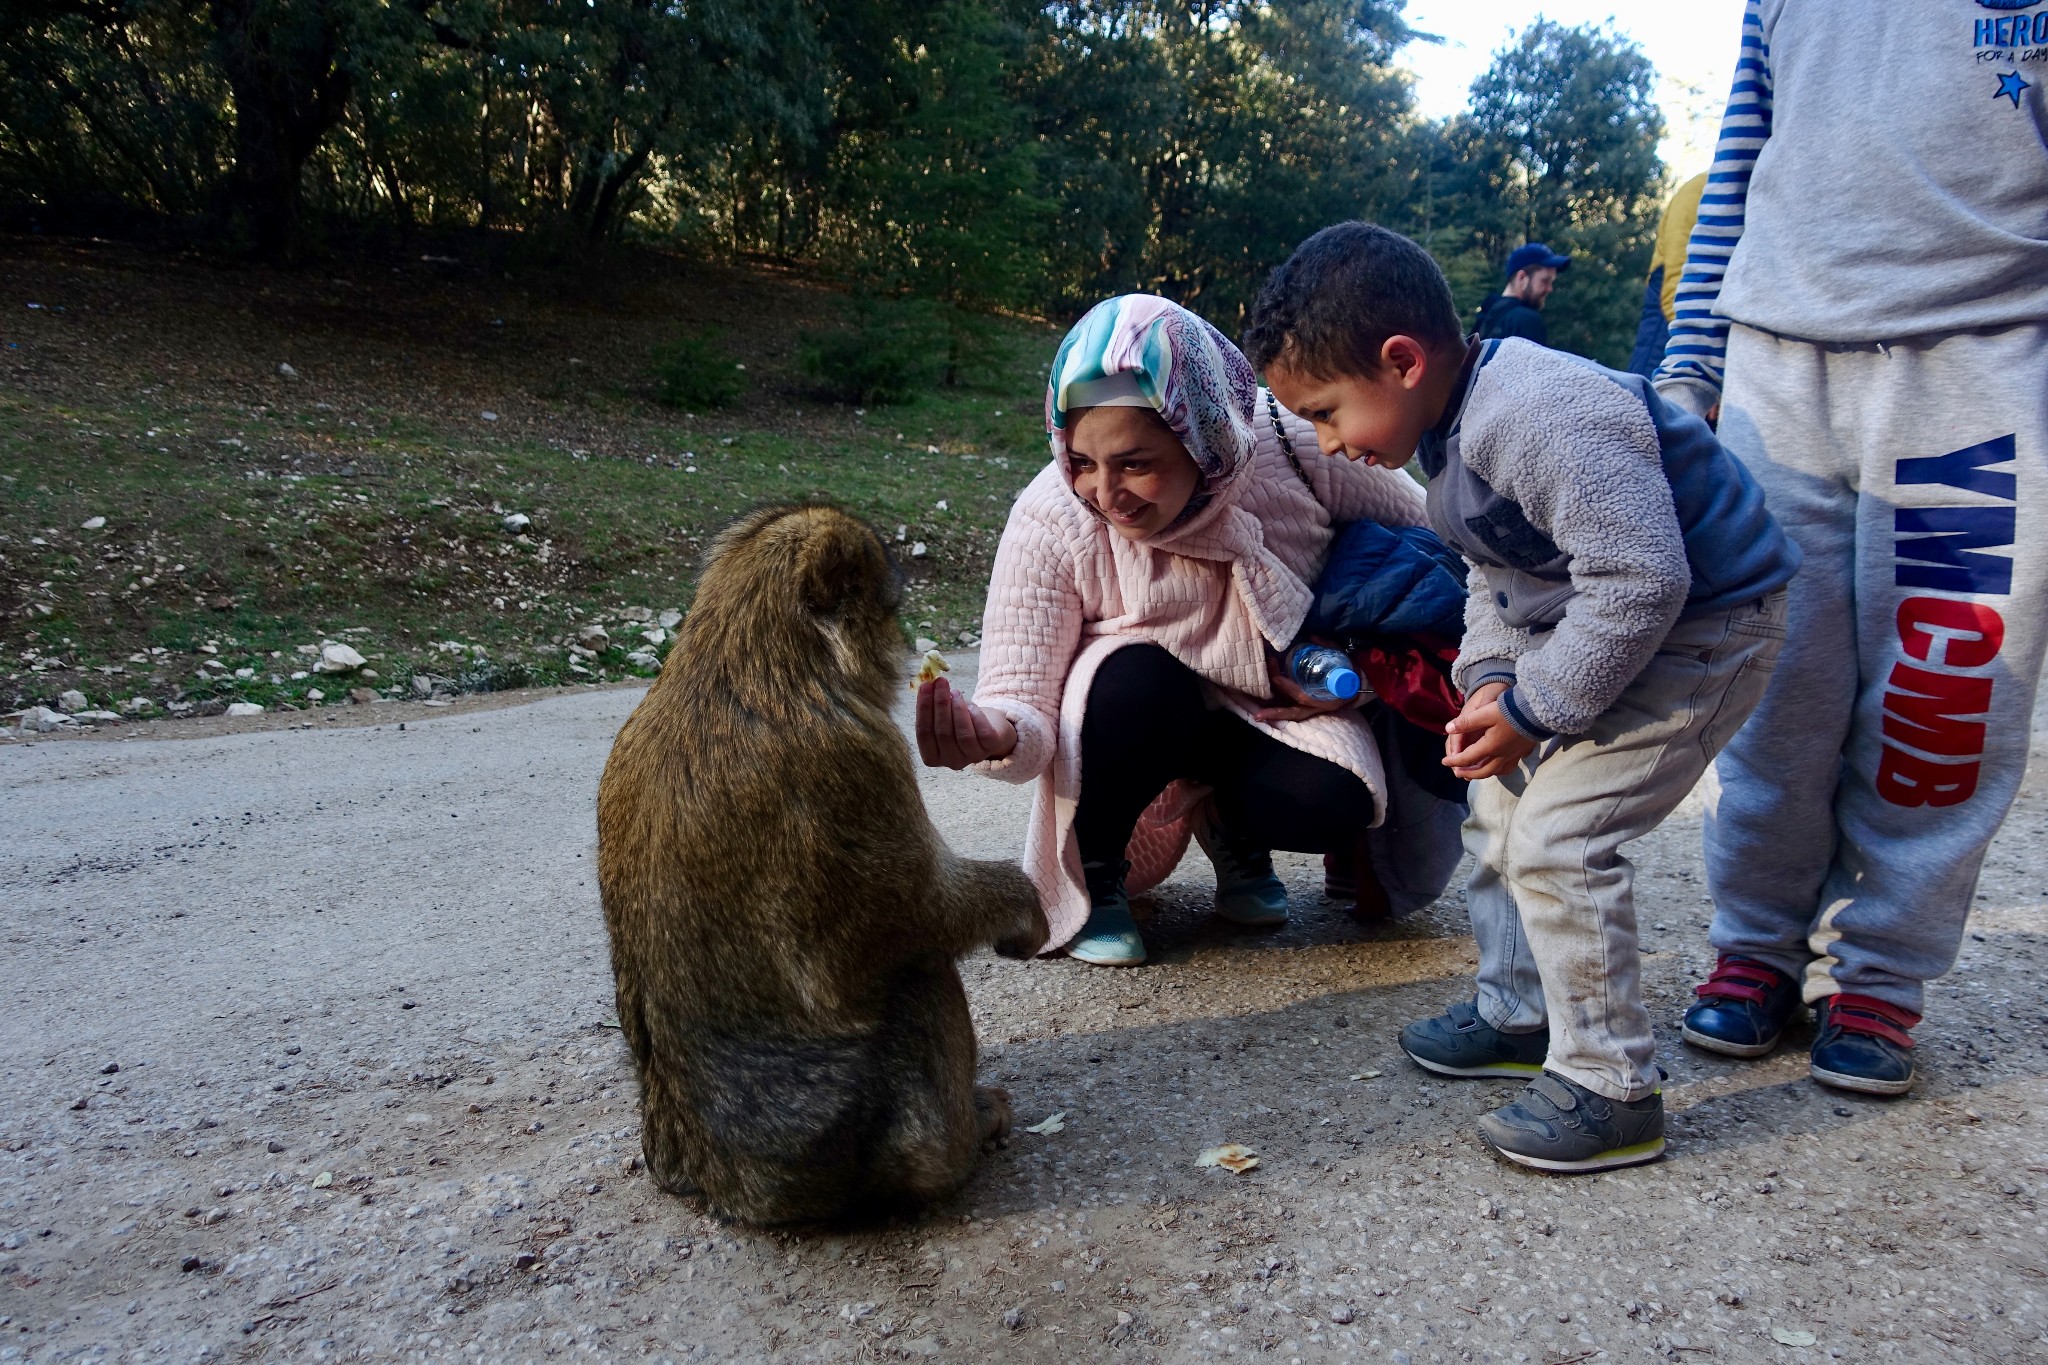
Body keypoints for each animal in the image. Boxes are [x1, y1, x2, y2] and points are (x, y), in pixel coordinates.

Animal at [589, 501, 1040, 1227]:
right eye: (889, 606)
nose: (903, 639)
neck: (741, 663)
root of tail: (729, 1188)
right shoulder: (858, 759)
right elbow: (912, 916)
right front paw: (1023, 902)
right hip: (863, 1149)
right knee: (919, 971)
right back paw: (966, 1135)